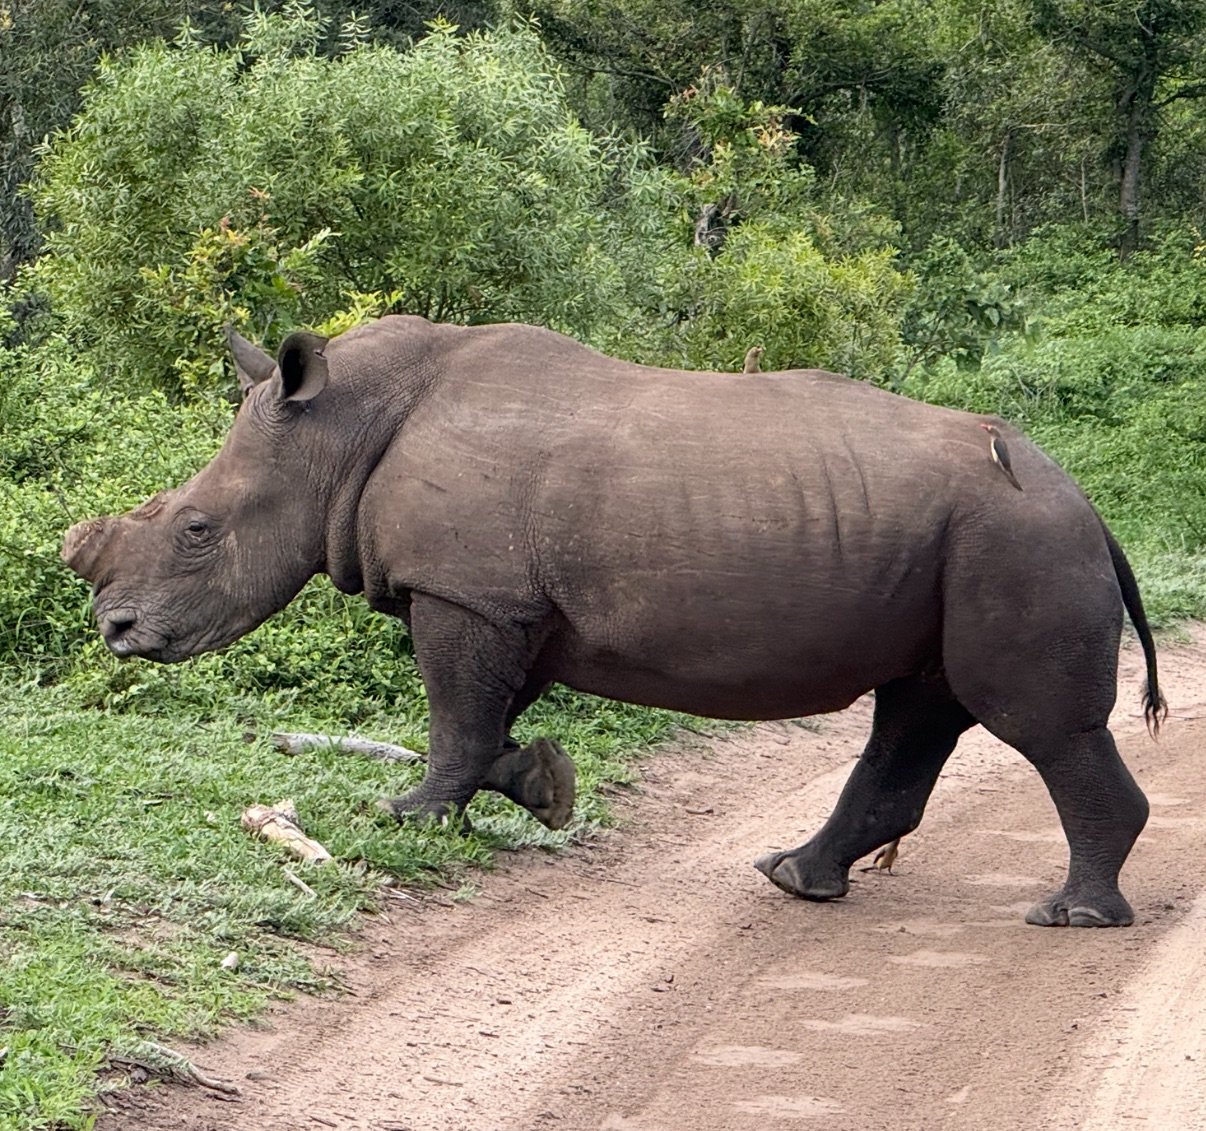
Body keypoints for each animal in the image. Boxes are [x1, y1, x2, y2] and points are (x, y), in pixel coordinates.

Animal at [62, 316, 1164, 927]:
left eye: (197, 530)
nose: (116, 631)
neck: (337, 430)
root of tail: (1088, 506)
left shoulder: (467, 592)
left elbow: (453, 717)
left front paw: (408, 816)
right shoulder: (511, 604)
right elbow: (485, 724)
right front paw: (544, 787)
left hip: (1016, 538)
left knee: (1031, 723)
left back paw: (1069, 917)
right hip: (975, 539)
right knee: (921, 708)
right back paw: (793, 878)